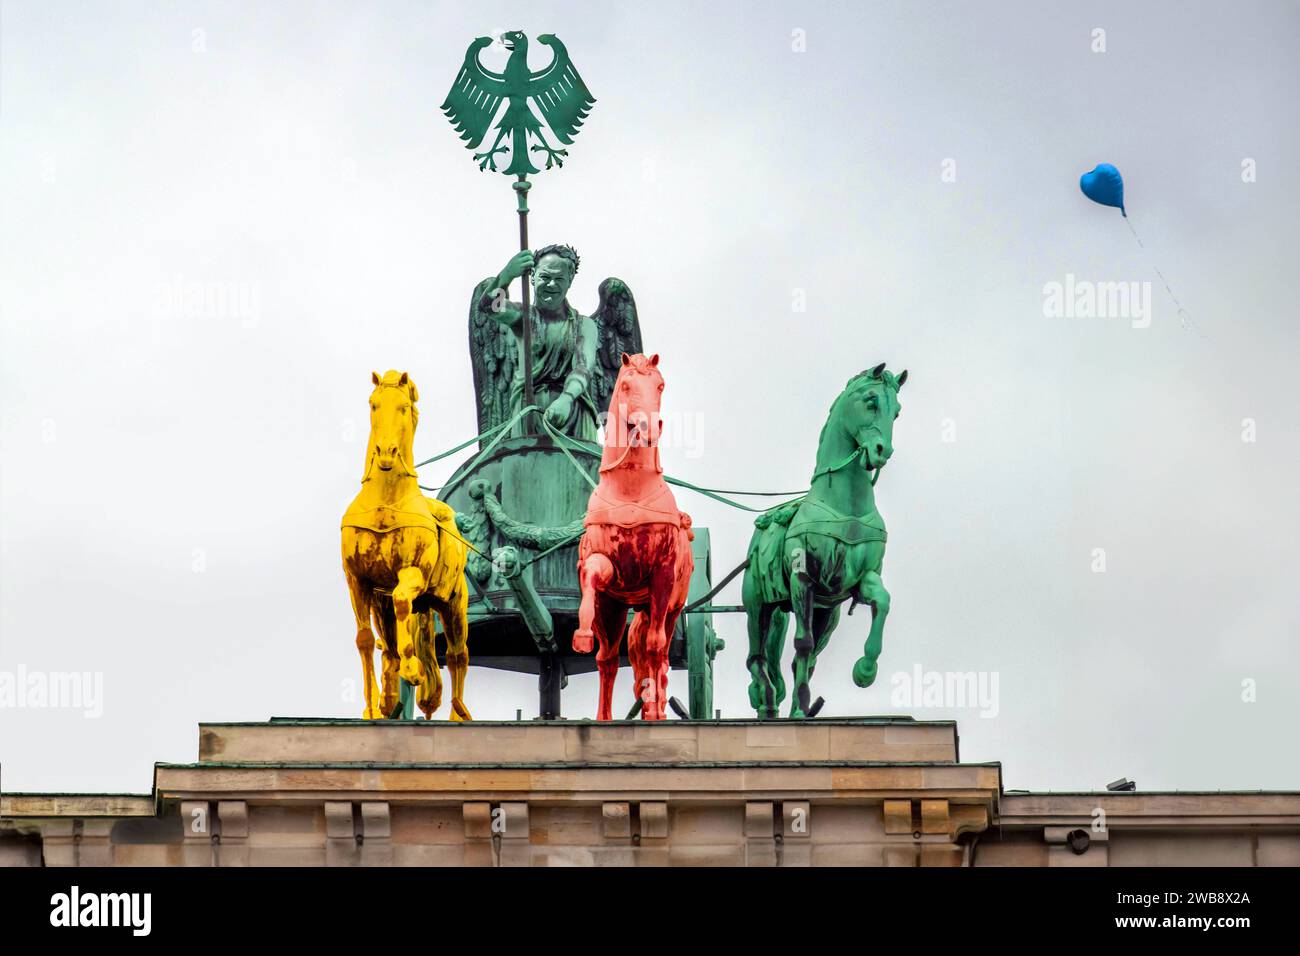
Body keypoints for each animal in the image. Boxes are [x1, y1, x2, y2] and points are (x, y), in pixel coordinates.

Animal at [340, 369, 473, 723]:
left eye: (402, 407)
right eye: (373, 404)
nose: (386, 452)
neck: (386, 500)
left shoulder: (412, 573)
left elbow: (402, 601)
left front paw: (413, 671)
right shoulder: (358, 581)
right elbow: (365, 640)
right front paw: (373, 707)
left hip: (454, 604)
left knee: (458, 655)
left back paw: (458, 713)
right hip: (384, 604)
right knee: (388, 648)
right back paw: (390, 698)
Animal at [572, 356, 691, 723]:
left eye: (660, 385)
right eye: (625, 385)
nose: (648, 428)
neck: (630, 491)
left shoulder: (662, 576)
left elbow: (653, 648)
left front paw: (653, 712)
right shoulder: (609, 572)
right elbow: (591, 575)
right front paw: (582, 633)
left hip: (670, 609)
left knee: (659, 655)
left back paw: (656, 711)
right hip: (616, 608)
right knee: (608, 658)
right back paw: (604, 716)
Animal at [748, 364, 909, 717]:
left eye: (897, 411)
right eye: (871, 400)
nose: (883, 451)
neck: (844, 505)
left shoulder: (860, 580)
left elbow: (883, 601)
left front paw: (865, 670)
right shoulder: (802, 579)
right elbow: (802, 644)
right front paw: (799, 701)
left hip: (827, 615)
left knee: (801, 661)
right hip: (758, 603)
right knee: (757, 656)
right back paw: (766, 695)